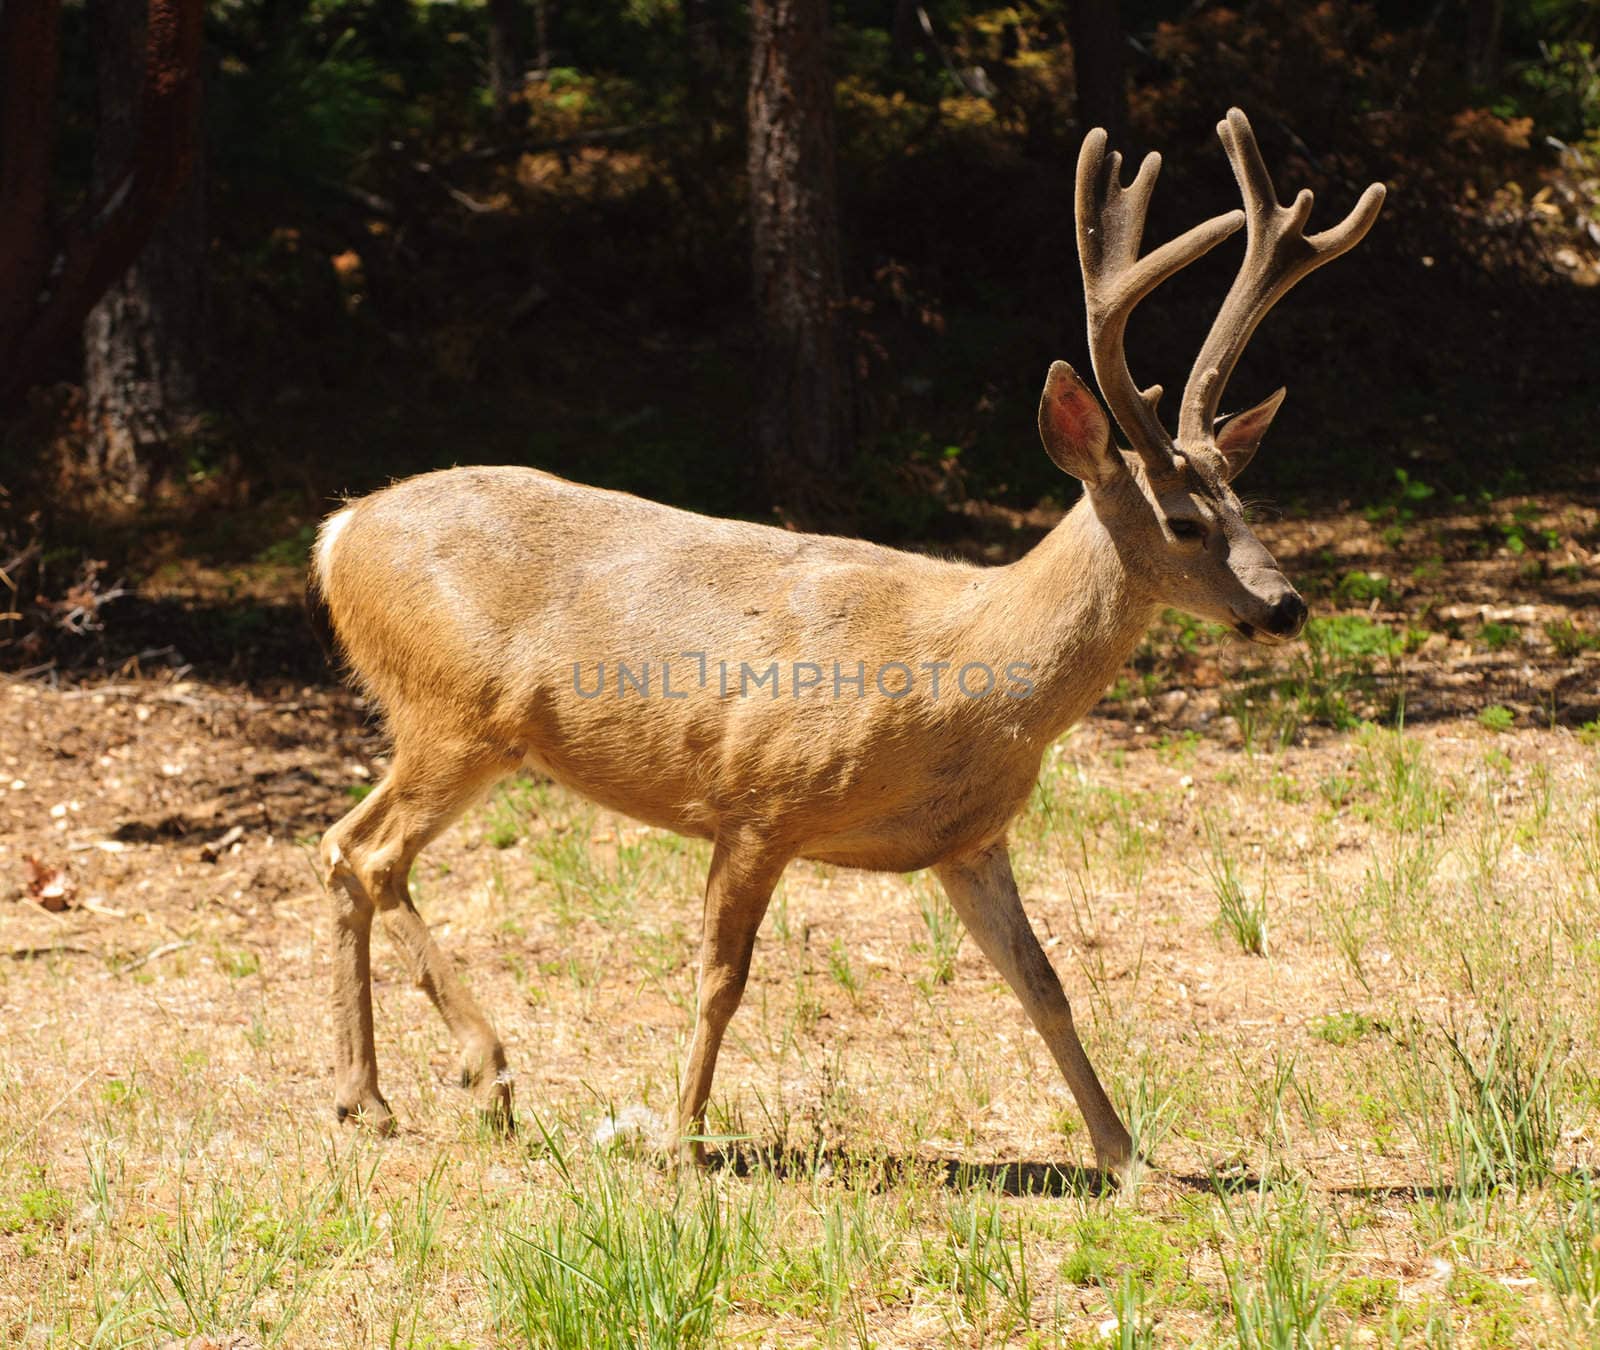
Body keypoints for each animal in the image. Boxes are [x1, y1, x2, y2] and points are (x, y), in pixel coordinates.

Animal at [308, 107, 1376, 1183]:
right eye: (1184, 523)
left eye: (1247, 505)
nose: (1286, 607)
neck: (965, 680)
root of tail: (339, 531)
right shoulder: (755, 799)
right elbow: (721, 978)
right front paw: (682, 1139)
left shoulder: (970, 839)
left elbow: (1042, 981)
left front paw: (1125, 1156)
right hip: (455, 711)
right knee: (373, 853)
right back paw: (484, 1071)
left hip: (441, 722)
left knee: (341, 844)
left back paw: (366, 1098)